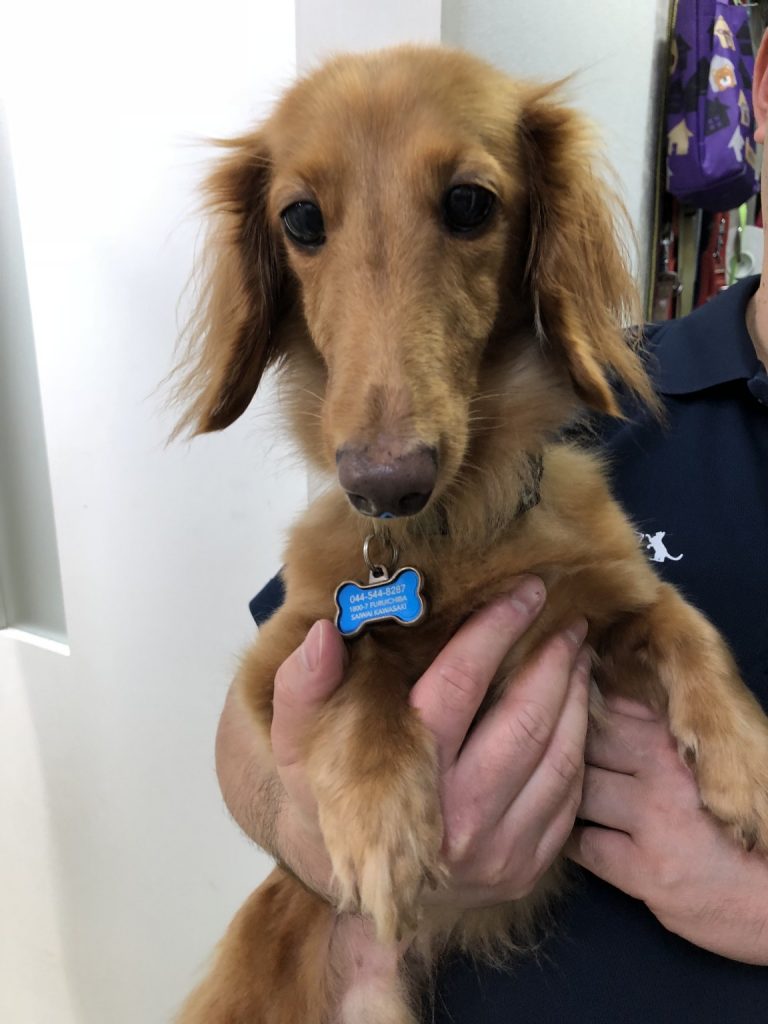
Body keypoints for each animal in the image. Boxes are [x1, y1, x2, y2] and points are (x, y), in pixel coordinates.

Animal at [172, 46, 768, 1024]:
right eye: (300, 218)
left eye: (468, 204)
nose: (384, 486)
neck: (455, 531)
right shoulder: (280, 657)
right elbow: (365, 671)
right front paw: (382, 816)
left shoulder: (601, 598)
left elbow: (688, 627)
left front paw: (746, 762)